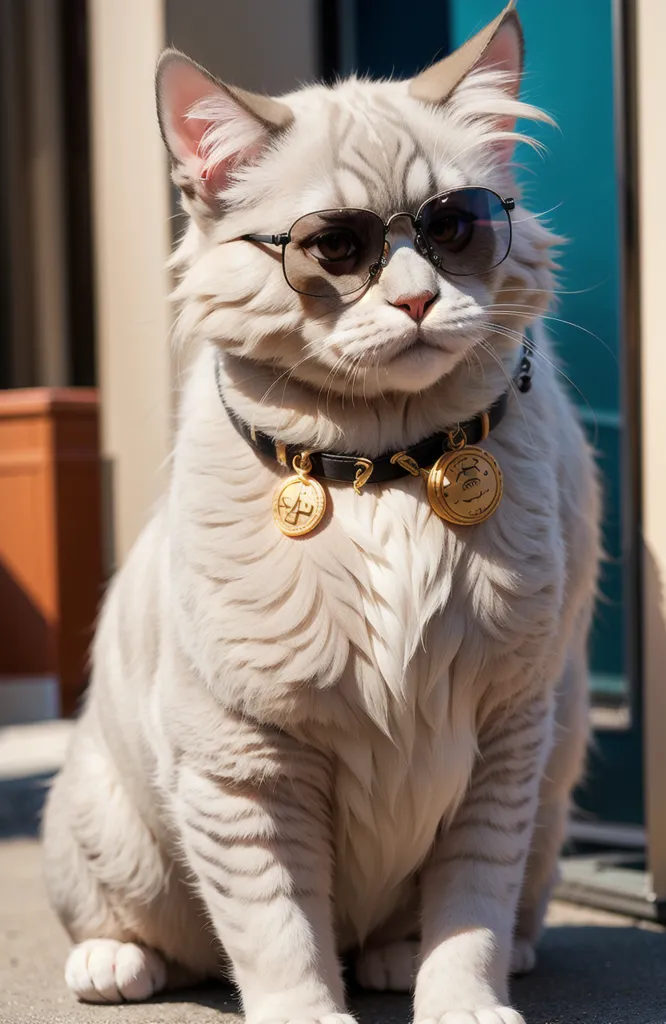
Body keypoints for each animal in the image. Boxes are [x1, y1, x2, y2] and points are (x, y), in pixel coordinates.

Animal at [44, 4, 598, 1019]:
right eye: (336, 249)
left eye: (455, 226)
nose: (416, 298)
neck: (388, 470)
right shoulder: (241, 765)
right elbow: (279, 931)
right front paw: (308, 1009)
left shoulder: (504, 742)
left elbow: (472, 909)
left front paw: (462, 1001)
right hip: (111, 830)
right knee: (136, 927)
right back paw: (114, 964)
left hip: (560, 759)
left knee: (499, 912)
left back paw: (410, 956)